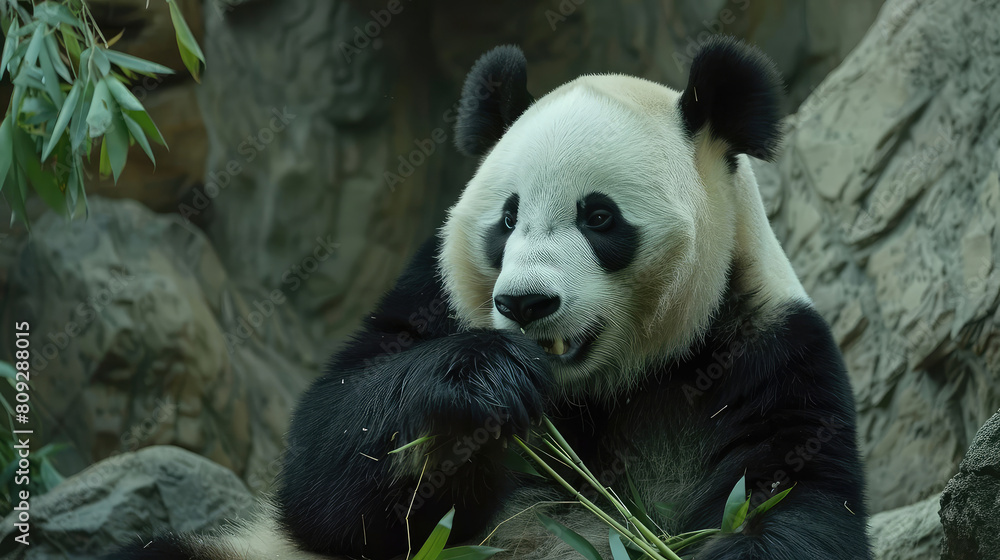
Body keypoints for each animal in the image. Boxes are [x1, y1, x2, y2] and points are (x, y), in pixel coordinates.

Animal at [111, 37, 872, 560]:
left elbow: (794, 503)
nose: (526, 304)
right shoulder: (432, 292)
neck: (596, 390)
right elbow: (328, 468)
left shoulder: (767, 351)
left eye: (599, 217)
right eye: (506, 220)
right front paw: (485, 378)